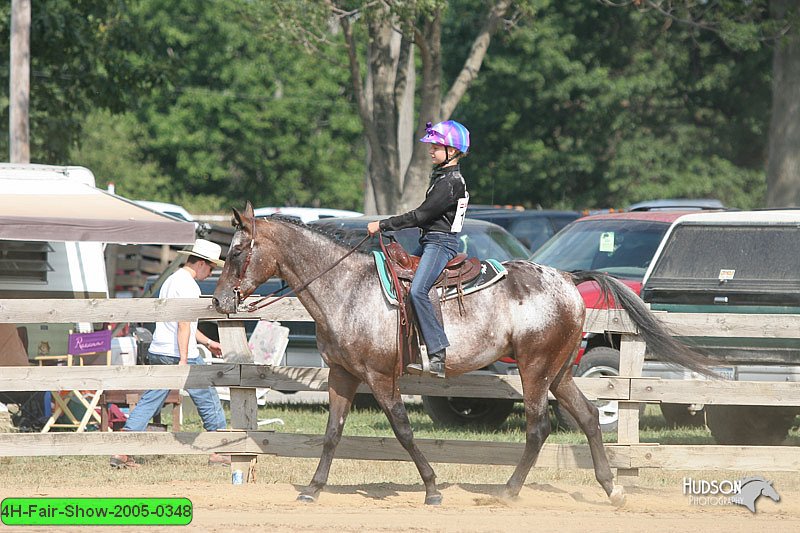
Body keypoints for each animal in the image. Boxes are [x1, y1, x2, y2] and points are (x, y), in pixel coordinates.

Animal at [212, 203, 712, 502]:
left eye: (236, 252)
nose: (218, 302)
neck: (346, 289)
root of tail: (568, 279)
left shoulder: (380, 378)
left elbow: (403, 431)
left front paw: (432, 488)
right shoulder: (342, 375)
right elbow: (332, 433)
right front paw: (313, 490)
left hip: (534, 370)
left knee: (539, 426)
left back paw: (509, 491)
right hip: (559, 372)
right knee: (588, 418)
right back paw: (611, 489)